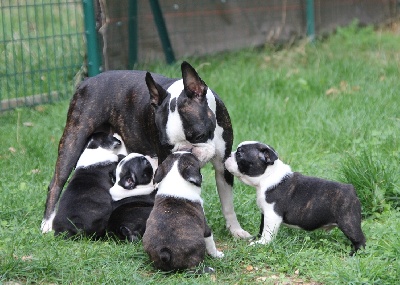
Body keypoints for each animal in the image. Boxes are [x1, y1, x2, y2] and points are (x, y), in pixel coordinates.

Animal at [225, 141, 366, 254]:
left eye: (239, 154)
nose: (228, 155)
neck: (267, 176)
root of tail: (351, 189)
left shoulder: (272, 214)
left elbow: (267, 231)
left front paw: (262, 243)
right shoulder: (265, 213)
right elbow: (262, 227)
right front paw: (257, 238)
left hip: (348, 221)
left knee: (360, 240)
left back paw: (355, 254)